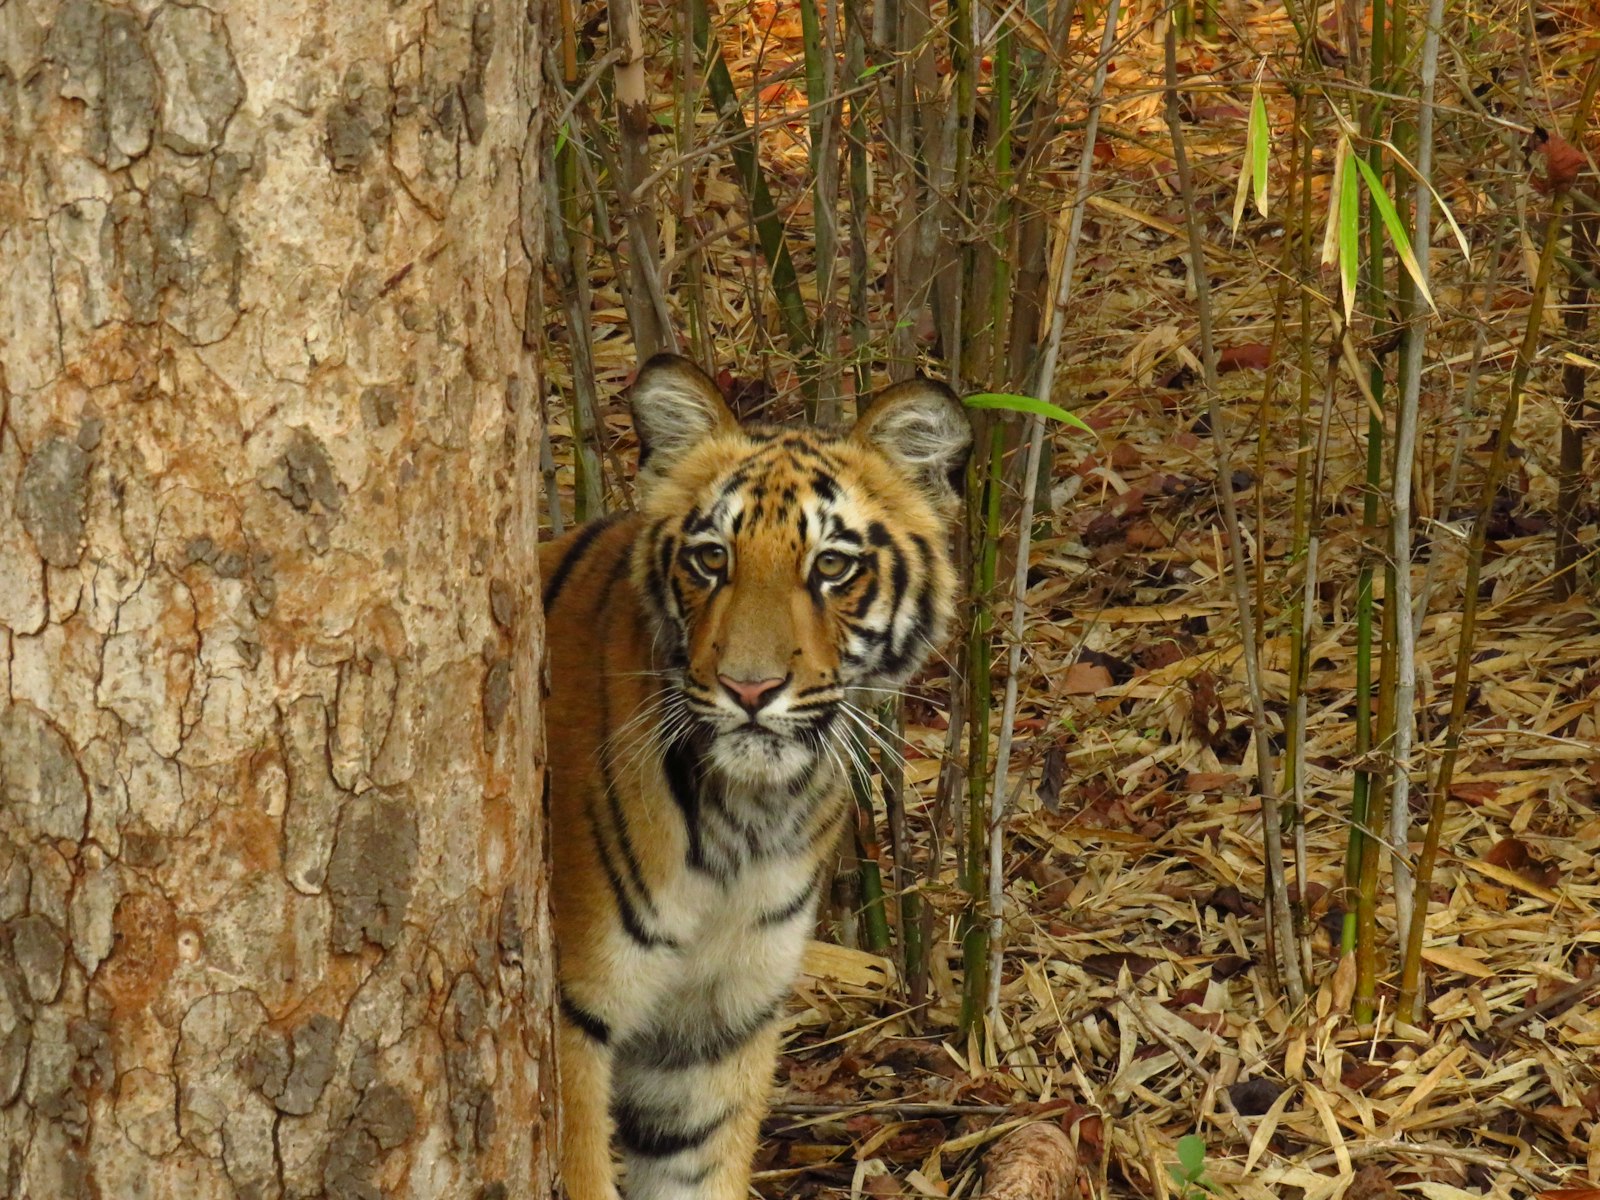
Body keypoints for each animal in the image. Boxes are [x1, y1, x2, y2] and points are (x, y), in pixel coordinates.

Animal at [540, 353, 971, 1200]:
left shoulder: (714, 1029)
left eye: (832, 566)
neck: (746, 821)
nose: (749, 689)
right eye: (712, 558)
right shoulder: (574, 1016)